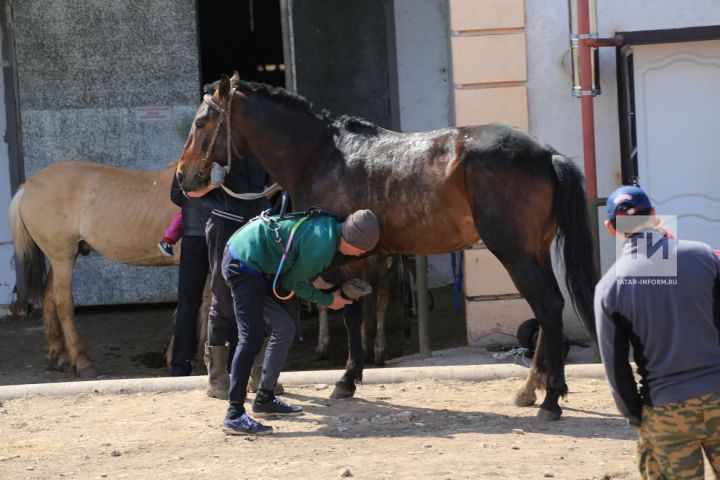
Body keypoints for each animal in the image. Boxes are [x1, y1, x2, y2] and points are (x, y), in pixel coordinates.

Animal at [177, 74, 600, 420]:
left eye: (201, 122)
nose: (183, 177)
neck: (322, 156)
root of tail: (547, 154)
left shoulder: (341, 258)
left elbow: (351, 315)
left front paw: (347, 379)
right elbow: (356, 310)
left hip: (515, 252)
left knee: (548, 307)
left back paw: (550, 400)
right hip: (535, 251)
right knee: (549, 310)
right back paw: (533, 389)